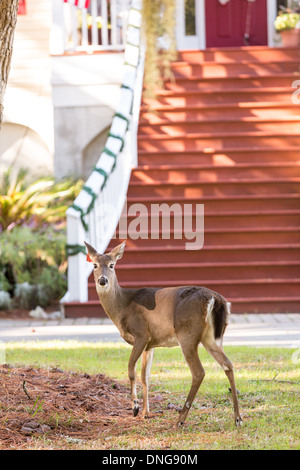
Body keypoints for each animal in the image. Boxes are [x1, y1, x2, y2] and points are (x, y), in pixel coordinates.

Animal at [83, 241, 243, 428]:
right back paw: (238, 418)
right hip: (211, 337)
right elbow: (145, 376)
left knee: (199, 372)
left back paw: (180, 419)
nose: (102, 280)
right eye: (95, 265)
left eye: (112, 265)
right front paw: (145, 413)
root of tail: (216, 299)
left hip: (187, 333)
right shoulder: (150, 344)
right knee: (228, 364)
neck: (123, 307)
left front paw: (135, 407)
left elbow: (131, 370)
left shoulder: (141, 334)